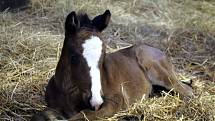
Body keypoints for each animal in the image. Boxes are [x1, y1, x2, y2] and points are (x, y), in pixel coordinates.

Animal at [31, 9, 194, 120]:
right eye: (74, 56)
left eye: (103, 55)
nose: (95, 101)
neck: (69, 92)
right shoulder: (53, 106)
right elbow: (39, 116)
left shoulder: (115, 100)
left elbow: (83, 115)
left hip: (164, 76)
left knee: (187, 91)